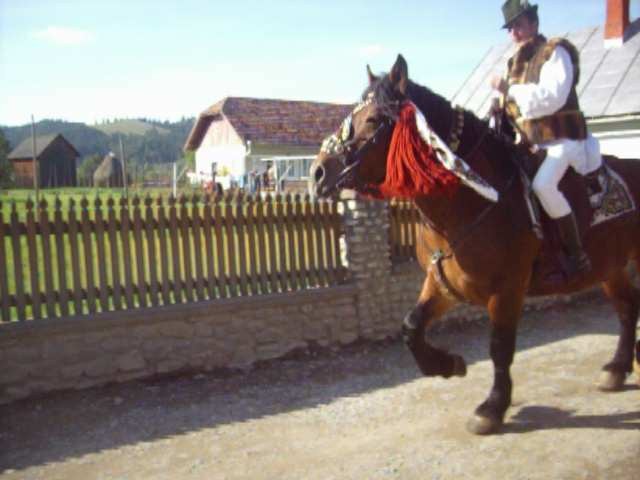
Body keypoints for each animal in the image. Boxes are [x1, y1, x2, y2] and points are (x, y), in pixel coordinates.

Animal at [310, 55, 640, 436]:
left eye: (374, 119)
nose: (318, 173)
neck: (475, 198)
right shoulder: (443, 284)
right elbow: (411, 326)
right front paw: (448, 364)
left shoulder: (507, 290)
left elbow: (500, 348)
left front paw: (492, 407)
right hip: (611, 267)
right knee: (627, 308)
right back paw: (617, 368)